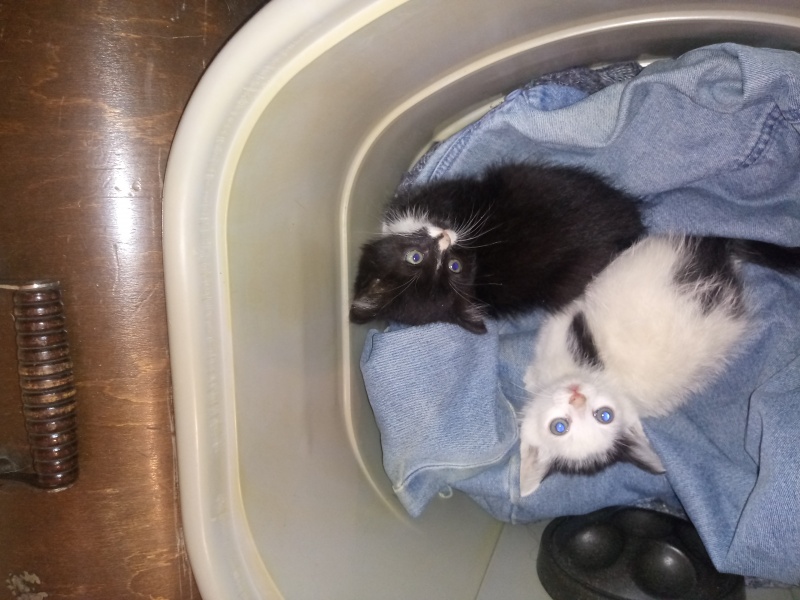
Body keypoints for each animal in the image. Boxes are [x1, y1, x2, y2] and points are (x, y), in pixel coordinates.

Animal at [518, 234, 800, 497]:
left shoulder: (564, 326)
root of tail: (721, 260)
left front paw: (530, 376)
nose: (577, 397)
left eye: (604, 415)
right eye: (559, 427)